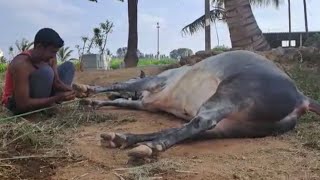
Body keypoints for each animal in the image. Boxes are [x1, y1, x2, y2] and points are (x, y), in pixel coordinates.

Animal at [72, 50, 320, 158]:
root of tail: (302, 97)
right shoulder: (145, 104)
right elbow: (123, 101)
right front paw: (93, 101)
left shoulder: (153, 81)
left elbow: (120, 84)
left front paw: (85, 90)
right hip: (244, 126)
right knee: (194, 130)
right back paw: (126, 138)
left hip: (229, 95)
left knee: (202, 121)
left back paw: (149, 145)